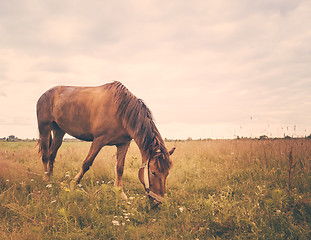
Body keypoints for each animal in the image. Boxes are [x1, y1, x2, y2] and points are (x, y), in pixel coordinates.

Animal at [36, 81, 176, 204]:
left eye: (167, 173)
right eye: (153, 172)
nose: (158, 202)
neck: (121, 111)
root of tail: (44, 95)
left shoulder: (123, 144)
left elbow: (120, 168)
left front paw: (120, 193)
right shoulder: (99, 140)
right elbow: (86, 163)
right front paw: (73, 184)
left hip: (59, 131)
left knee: (52, 154)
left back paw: (51, 178)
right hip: (45, 128)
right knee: (45, 155)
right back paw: (46, 179)